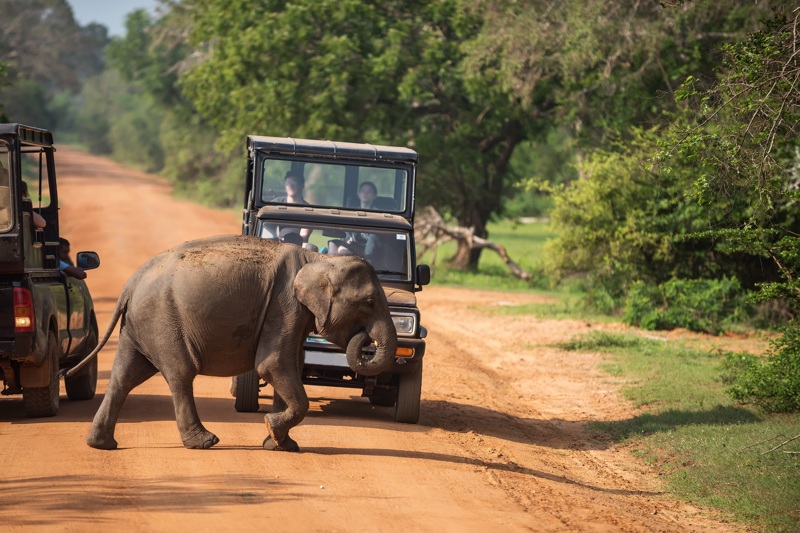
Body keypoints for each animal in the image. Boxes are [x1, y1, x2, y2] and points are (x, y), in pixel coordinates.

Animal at [66, 235, 397, 451]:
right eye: (370, 302)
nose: (364, 338)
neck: (321, 261)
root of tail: (131, 283)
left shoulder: (294, 314)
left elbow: (289, 365)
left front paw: (280, 444)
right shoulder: (284, 306)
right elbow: (273, 364)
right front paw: (274, 432)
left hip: (138, 325)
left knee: (125, 375)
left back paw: (101, 445)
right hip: (161, 320)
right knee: (179, 374)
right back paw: (205, 442)